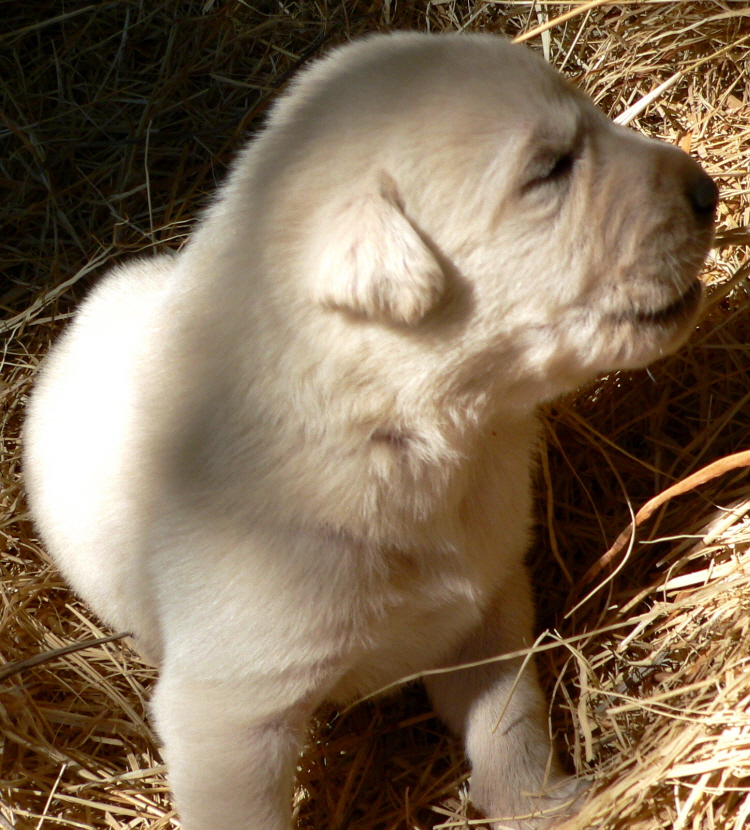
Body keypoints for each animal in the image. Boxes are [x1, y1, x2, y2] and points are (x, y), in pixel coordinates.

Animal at [23, 32, 716, 830]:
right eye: (550, 169)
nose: (709, 191)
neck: (404, 433)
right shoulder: (227, 712)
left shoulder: (488, 603)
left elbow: (508, 723)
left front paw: (541, 803)